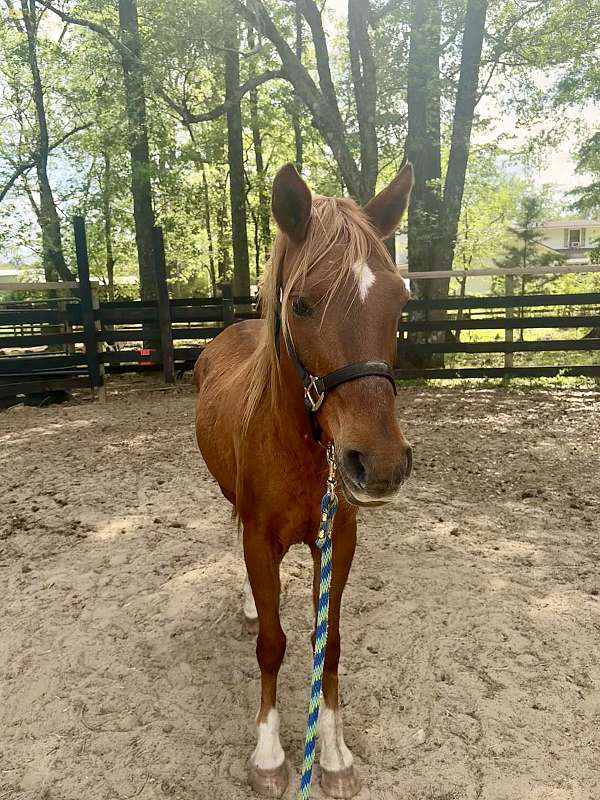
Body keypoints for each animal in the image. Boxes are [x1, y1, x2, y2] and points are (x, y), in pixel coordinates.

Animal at [194, 161, 414, 798]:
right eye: (302, 305)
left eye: (398, 301)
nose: (380, 462)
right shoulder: (259, 540)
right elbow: (272, 643)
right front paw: (269, 754)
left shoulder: (337, 539)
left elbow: (329, 643)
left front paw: (333, 753)